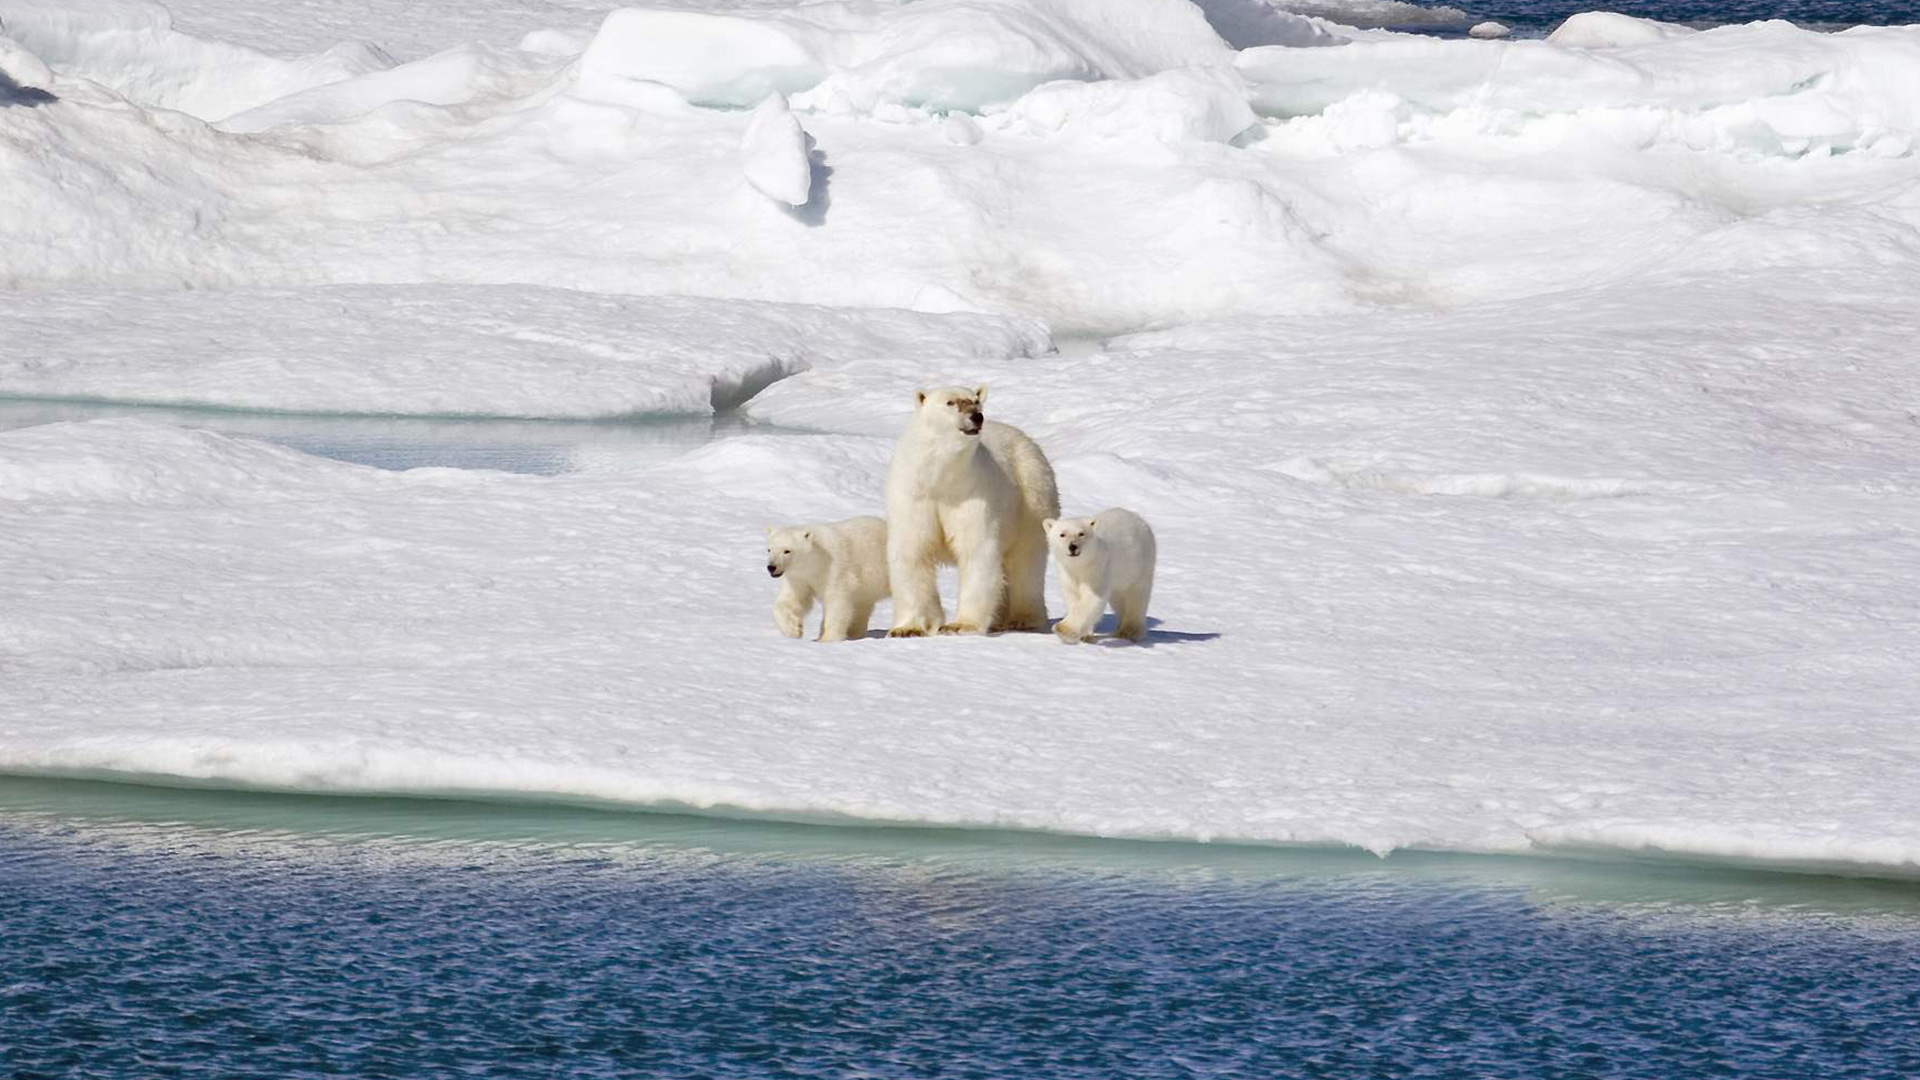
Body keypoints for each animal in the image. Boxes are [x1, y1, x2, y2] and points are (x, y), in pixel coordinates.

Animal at [887, 384, 1067, 630]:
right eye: (950, 402)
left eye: (975, 400)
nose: (977, 416)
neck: (940, 479)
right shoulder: (914, 495)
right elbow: (913, 550)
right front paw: (909, 628)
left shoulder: (973, 493)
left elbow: (977, 550)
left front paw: (960, 625)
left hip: (1031, 496)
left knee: (1026, 560)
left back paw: (1023, 618)